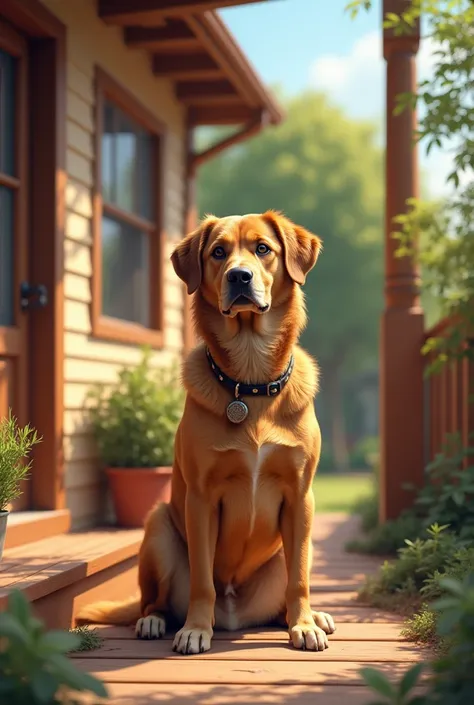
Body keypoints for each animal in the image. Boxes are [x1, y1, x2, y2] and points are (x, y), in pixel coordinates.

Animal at [78, 210, 336, 656]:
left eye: (262, 248)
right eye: (218, 252)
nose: (239, 276)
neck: (249, 383)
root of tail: (236, 615)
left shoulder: (301, 496)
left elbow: (300, 580)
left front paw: (303, 624)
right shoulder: (200, 499)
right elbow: (202, 579)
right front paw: (197, 628)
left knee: (287, 589)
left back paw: (307, 616)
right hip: (158, 526)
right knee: (154, 600)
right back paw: (155, 621)